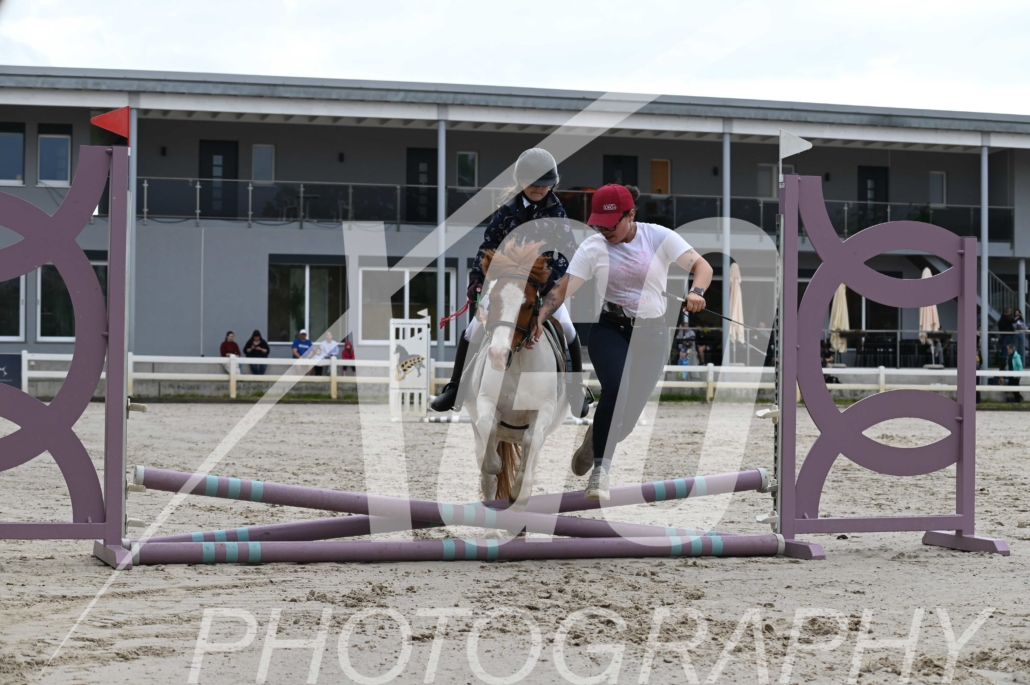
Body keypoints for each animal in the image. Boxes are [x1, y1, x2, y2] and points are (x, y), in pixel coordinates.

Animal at [465, 240, 568, 509]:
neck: (518, 363)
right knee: (487, 478)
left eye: (530, 304)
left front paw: (519, 489)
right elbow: (488, 427)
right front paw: (496, 465)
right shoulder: (486, 403)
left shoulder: (544, 410)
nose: (498, 356)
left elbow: (531, 440)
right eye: (492, 301)